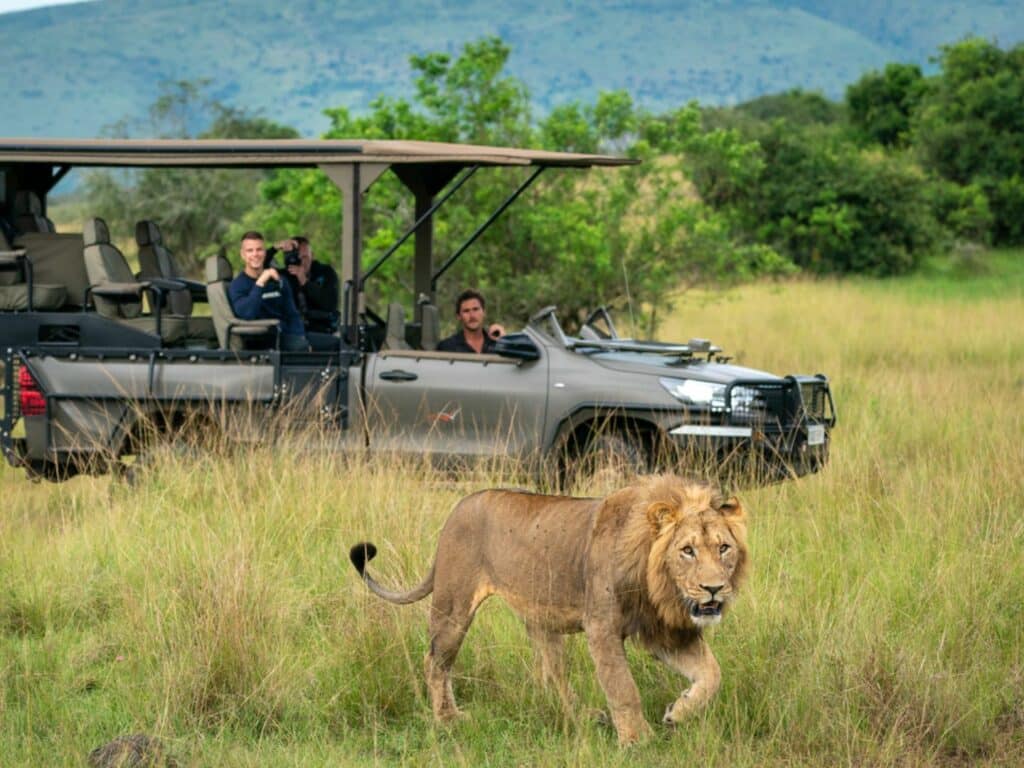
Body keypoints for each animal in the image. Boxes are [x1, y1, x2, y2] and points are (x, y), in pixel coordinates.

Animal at [349, 475, 749, 745]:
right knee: (436, 660)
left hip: (541, 622)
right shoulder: (602, 628)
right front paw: (638, 740)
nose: (714, 589)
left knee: (552, 675)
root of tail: (459, 505)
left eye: (723, 548)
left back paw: (583, 716)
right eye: (687, 550)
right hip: (453, 606)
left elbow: (712, 674)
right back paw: (448, 719)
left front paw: (677, 713)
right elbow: (623, 687)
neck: (658, 586)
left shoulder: (662, 632)